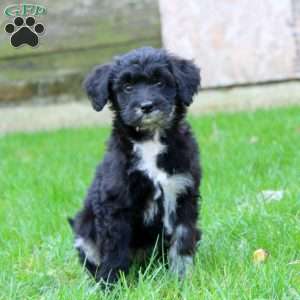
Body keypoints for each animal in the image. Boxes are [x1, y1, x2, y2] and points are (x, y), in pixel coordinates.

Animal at [69, 46, 203, 284]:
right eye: (127, 87)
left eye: (159, 82)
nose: (146, 106)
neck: (150, 141)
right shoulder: (116, 204)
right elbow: (115, 250)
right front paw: (111, 285)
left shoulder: (184, 196)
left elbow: (182, 240)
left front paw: (182, 278)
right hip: (83, 231)